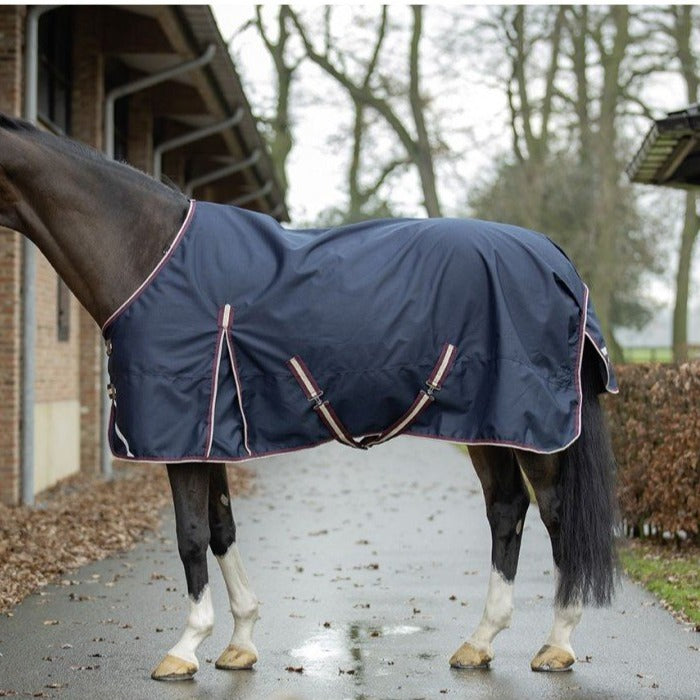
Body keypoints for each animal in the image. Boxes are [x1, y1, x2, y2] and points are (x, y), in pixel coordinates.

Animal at [0, 113, 618, 680]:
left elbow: (190, 536)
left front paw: (184, 648)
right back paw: (480, 641)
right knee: (507, 509)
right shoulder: (209, 437)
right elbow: (221, 529)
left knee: (555, 514)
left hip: (532, 430)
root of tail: (556, 259)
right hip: (489, 427)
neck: (147, 255)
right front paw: (240, 641)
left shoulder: (184, 437)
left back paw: (557, 645)